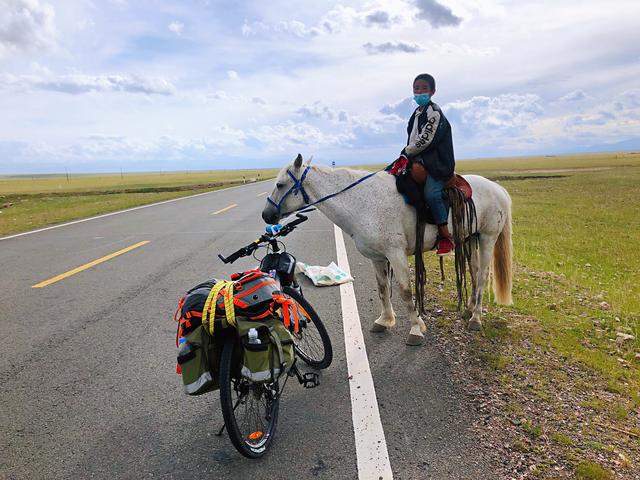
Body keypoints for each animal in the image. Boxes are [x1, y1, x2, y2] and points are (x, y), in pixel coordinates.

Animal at [262, 155, 512, 344]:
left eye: (280, 184)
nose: (266, 215)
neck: (363, 203)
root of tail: (498, 189)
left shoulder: (396, 254)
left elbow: (405, 291)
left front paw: (416, 328)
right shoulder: (377, 258)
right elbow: (382, 288)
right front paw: (385, 320)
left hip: (487, 238)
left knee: (482, 275)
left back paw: (476, 319)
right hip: (470, 238)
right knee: (475, 271)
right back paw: (469, 308)